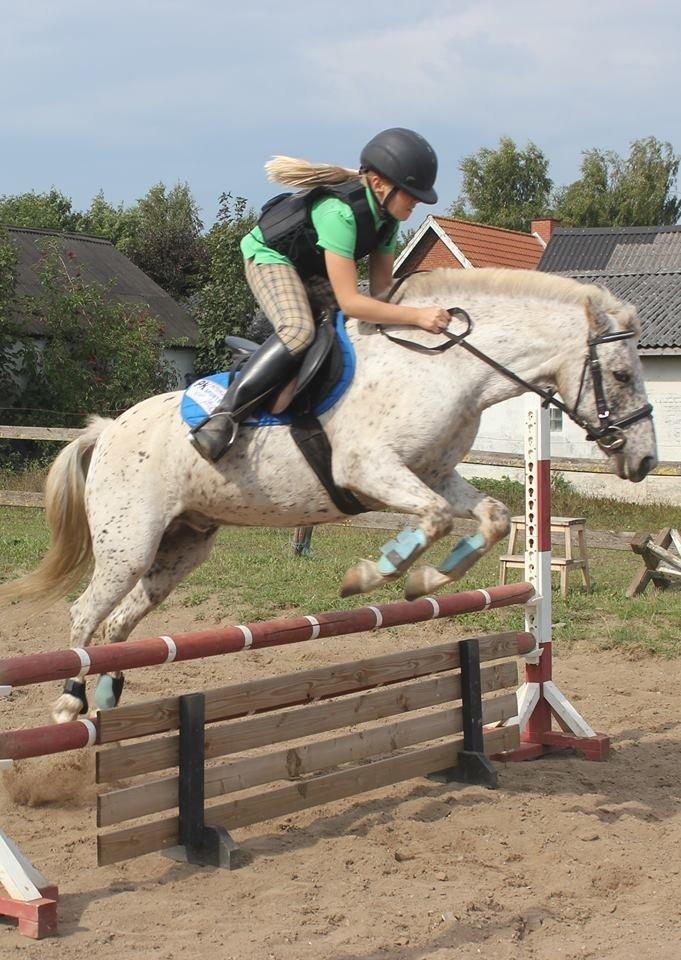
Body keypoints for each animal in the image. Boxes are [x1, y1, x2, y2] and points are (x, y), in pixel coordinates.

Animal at [0, 268, 657, 724]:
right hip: (129, 544)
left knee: (121, 622)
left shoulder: (436, 472)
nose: (646, 460)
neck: (444, 370)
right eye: (622, 374)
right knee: (86, 614)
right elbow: (437, 517)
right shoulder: (370, 469)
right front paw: (375, 574)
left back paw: (109, 697)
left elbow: (492, 518)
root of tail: (107, 428)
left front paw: (424, 582)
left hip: (182, 548)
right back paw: (70, 702)